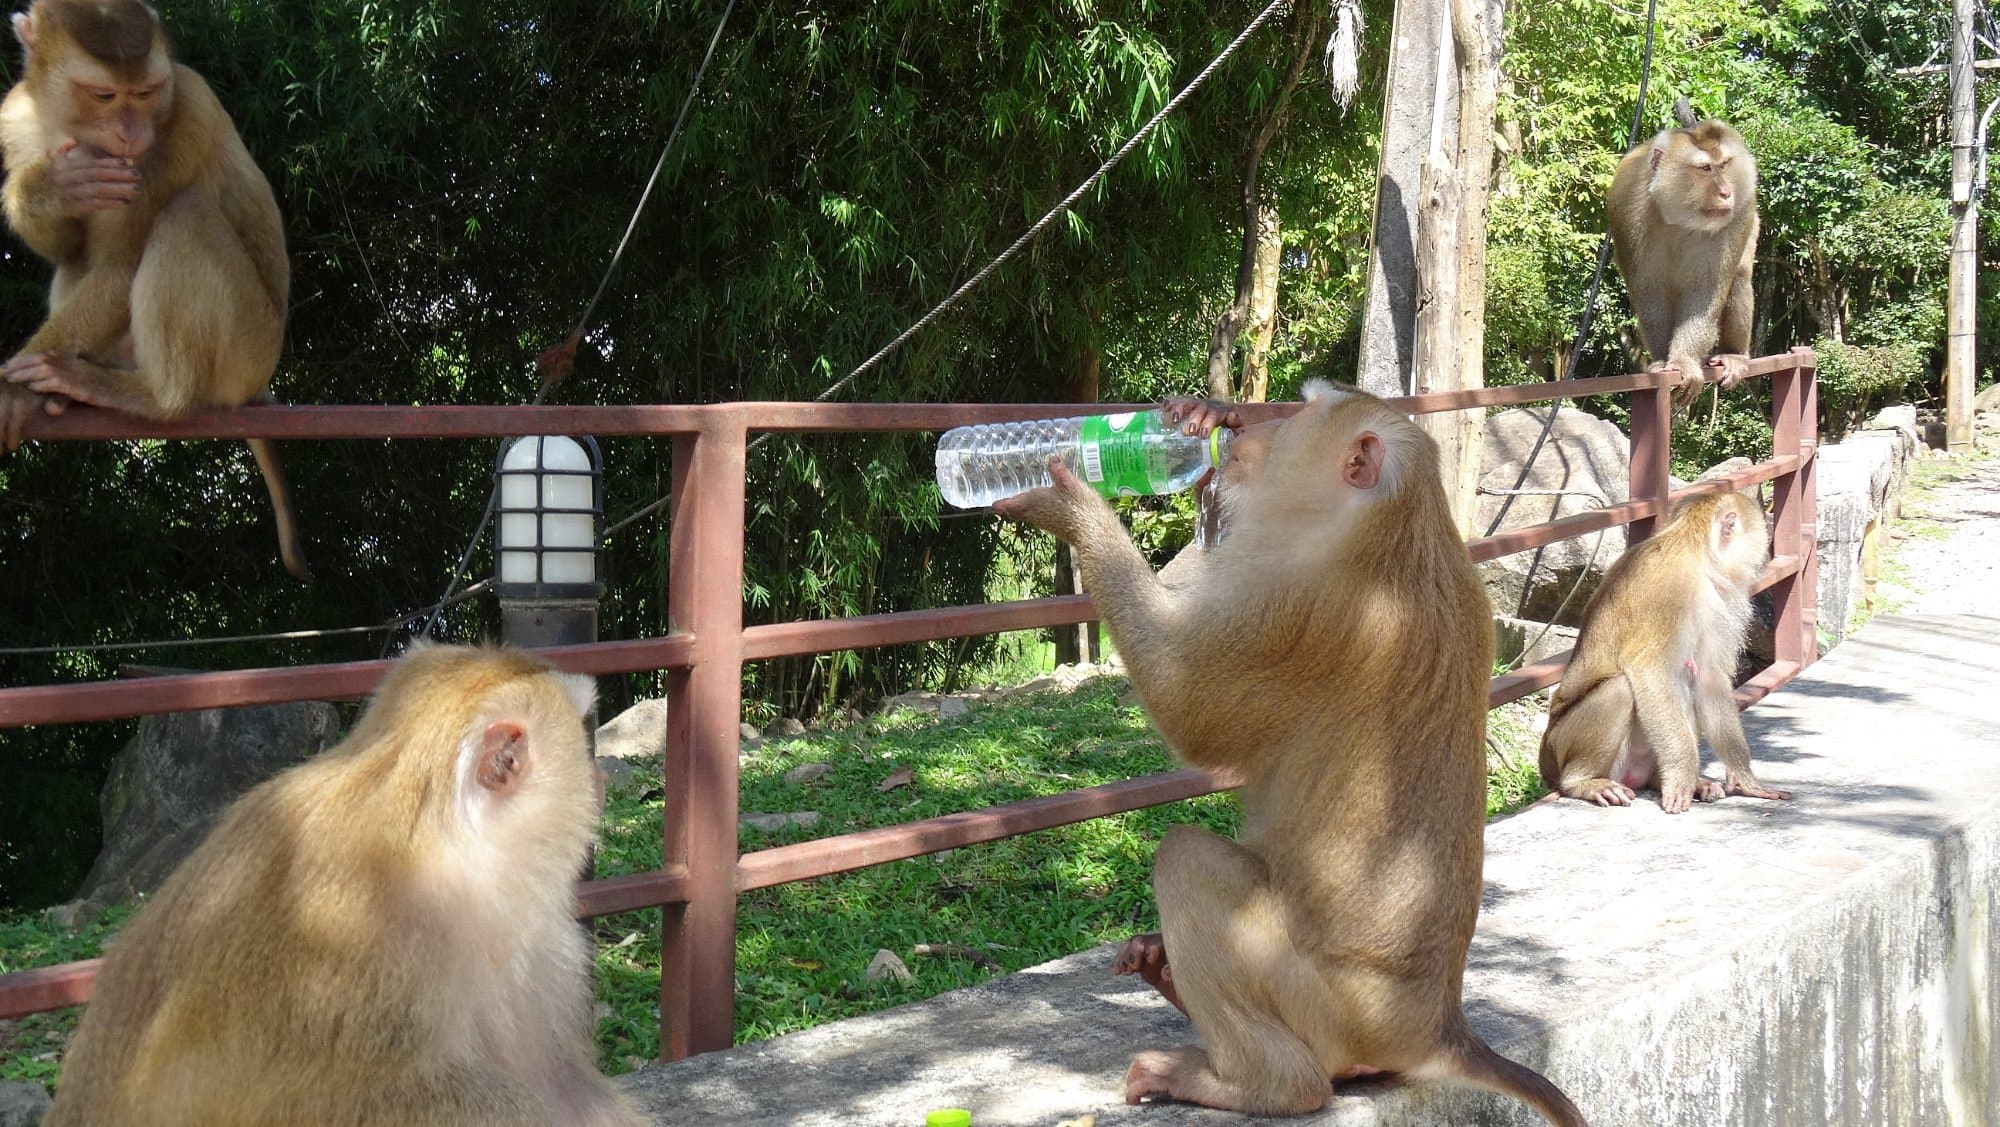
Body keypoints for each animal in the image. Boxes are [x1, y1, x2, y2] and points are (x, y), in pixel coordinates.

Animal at [0, 0, 306, 579]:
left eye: (144, 93)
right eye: (104, 96)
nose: (130, 132)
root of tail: (259, 382)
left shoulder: (186, 112)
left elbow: (121, 266)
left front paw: (14, 390)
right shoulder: (13, 120)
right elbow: (66, 248)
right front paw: (48, 188)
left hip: (246, 352)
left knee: (185, 215)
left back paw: (153, 397)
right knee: (76, 265)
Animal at [992, 381, 1584, 1127]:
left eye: (1302, 413)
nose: (1252, 433)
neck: (1392, 532)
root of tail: (1434, 1027)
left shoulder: (1292, 601)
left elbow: (1188, 705)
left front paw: (1071, 504)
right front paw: (1202, 420)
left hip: (1319, 1000)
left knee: (1188, 861)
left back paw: (1258, 1085)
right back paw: (1164, 973)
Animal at [1536, 489, 1792, 815]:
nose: (1763, 557)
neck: (1692, 553)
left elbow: (1709, 678)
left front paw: (1746, 780)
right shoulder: (1671, 594)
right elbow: (1650, 671)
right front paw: (1682, 775)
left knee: (1688, 675)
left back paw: (1667, 780)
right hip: (1559, 747)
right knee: (1621, 688)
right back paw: (1584, 782)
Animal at [1608, 116, 1768, 407]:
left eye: (1724, 164)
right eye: (1705, 168)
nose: (1726, 192)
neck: (1679, 214)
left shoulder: (1739, 215)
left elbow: (1705, 293)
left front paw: (1683, 361)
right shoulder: (1627, 207)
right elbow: (1651, 291)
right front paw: (1664, 362)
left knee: (1739, 277)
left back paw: (1734, 354)